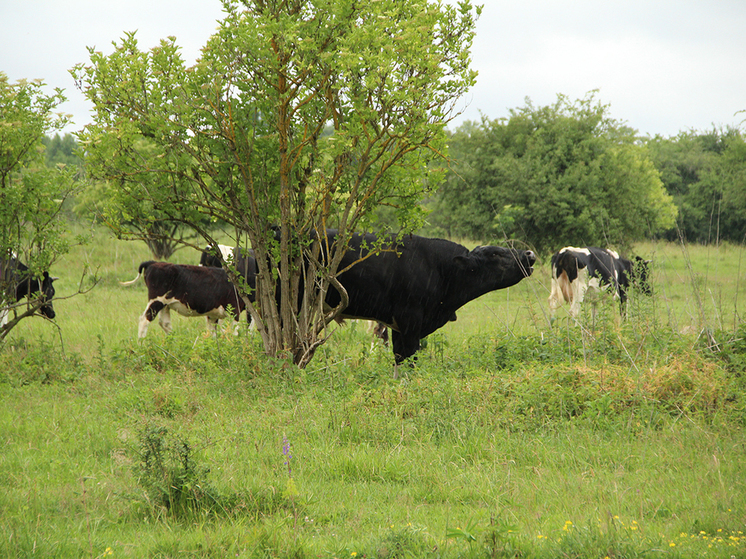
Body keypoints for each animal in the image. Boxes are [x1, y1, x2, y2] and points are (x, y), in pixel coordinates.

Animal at [119, 262, 253, 340]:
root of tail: (154, 262)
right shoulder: (234, 309)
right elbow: (234, 332)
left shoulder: (212, 315)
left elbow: (214, 334)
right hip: (156, 300)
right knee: (144, 320)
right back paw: (141, 345)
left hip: (165, 304)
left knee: (164, 323)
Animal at [320, 231, 536, 366]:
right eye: (495, 254)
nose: (529, 253)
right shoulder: (410, 318)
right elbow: (409, 359)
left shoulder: (399, 326)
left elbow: (399, 359)